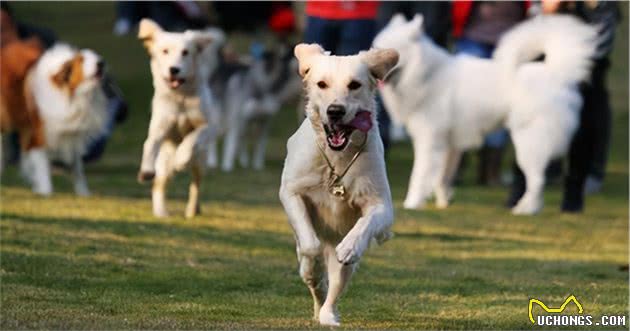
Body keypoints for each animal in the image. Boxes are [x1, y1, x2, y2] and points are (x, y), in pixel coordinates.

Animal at [137, 19, 223, 219]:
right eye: (164, 51)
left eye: (186, 52)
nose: (174, 69)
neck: (180, 98)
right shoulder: (160, 128)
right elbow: (149, 144)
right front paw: (146, 170)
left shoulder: (208, 126)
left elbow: (193, 138)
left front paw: (181, 157)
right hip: (163, 165)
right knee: (159, 184)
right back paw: (161, 211)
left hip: (200, 163)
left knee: (195, 185)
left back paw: (192, 210)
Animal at [282, 44, 400, 326]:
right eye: (321, 84)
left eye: (354, 85)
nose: (335, 111)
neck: (336, 158)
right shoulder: (290, 191)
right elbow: (310, 247)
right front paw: (312, 265)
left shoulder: (381, 204)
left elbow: (365, 224)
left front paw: (349, 247)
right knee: (315, 279)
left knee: (335, 286)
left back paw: (328, 315)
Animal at [378, 14, 600, 215]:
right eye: (376, 48)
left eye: (393, 53)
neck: (428, 74)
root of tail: (557, 74)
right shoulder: (449, 145)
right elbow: (442, 177)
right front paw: (443, 202)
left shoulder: (429, 140)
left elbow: (419, 175)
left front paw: (412, 203)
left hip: (528, 143)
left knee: (537, 180)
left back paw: (525, 209)